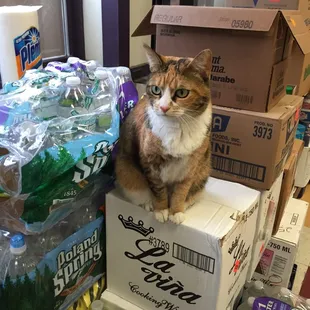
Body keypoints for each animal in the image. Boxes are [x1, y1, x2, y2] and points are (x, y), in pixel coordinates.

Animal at [115, 44, 212, 224]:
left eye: (182, 93)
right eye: (155, 89)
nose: (164, 107)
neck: (178, 128)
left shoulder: (191, 166)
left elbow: (181, 190)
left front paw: (176, 211)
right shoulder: (150, 163)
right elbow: (157, 189)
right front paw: (161, 210)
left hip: (203, 170)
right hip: (125, 169)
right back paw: (147, 203)